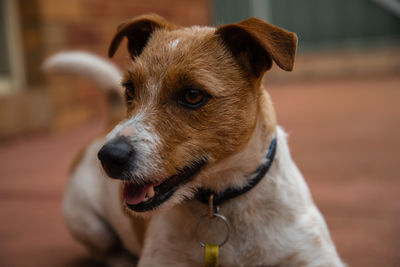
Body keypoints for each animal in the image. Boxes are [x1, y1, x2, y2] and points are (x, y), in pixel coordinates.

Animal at [44, 14, 344, 267]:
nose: (109, 156)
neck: (220, 200)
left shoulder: (315, 256)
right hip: (86, 222)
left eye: (192, 95)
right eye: (130, 89)